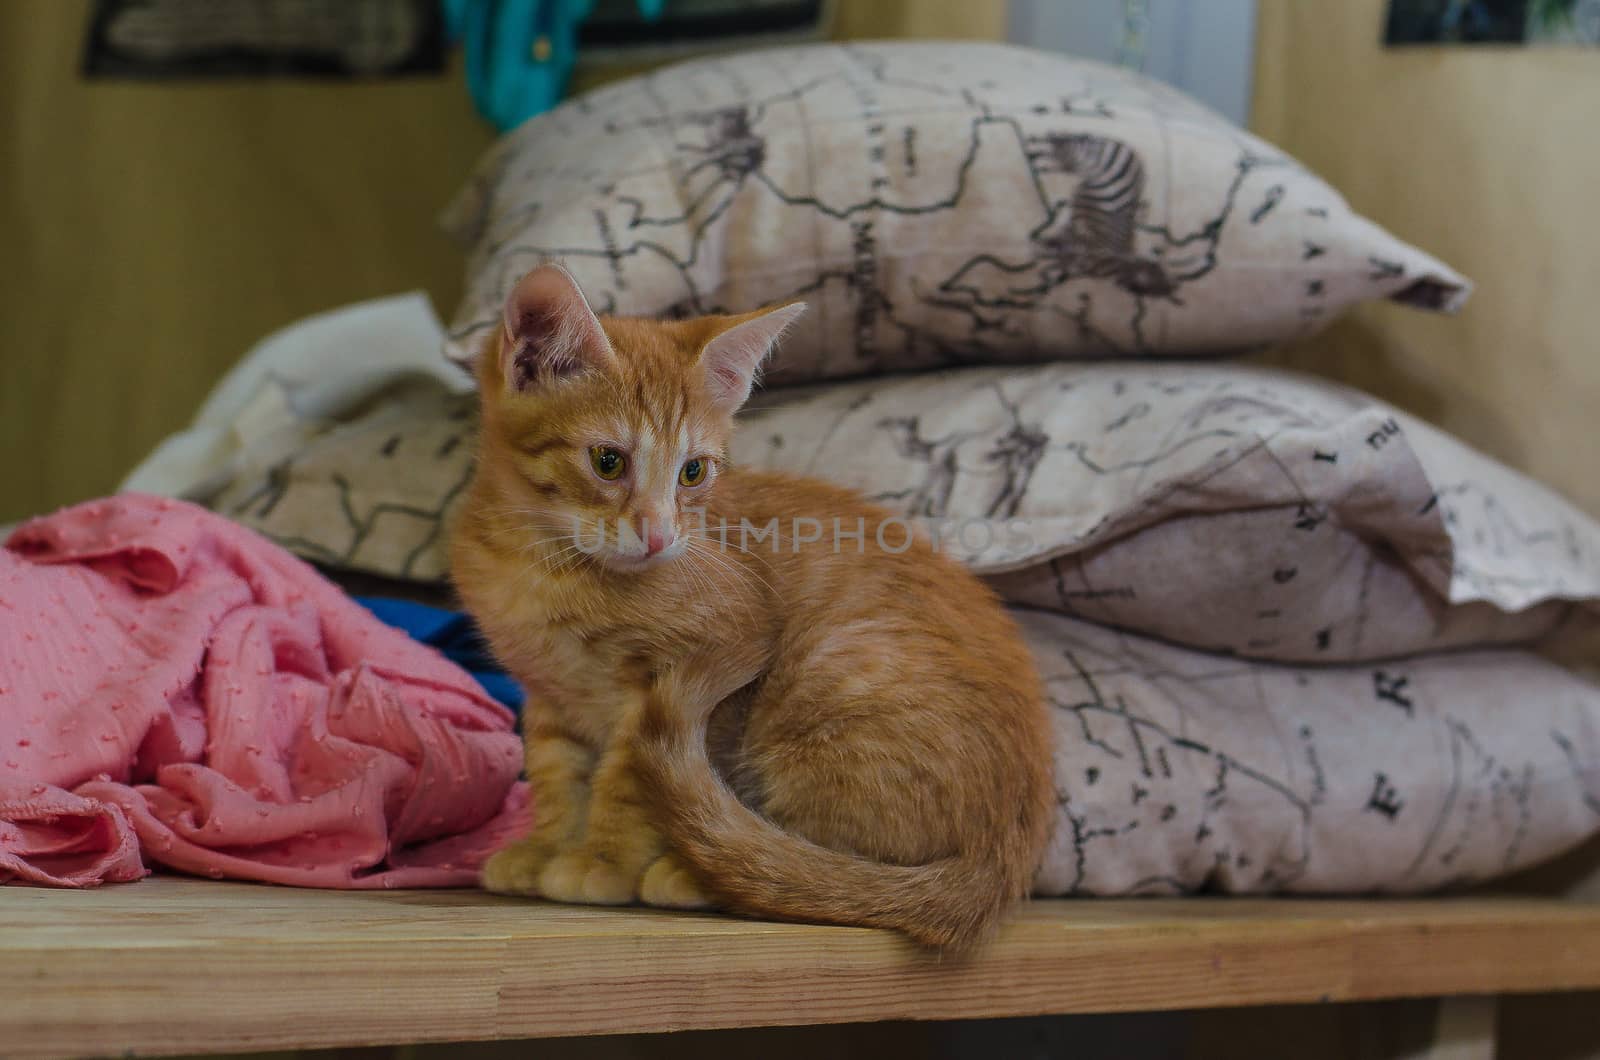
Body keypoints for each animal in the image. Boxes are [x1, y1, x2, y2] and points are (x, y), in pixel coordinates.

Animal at [451, 265, 1056, 954]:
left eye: (692, 472)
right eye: (608, 461)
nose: (659, 536)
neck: (541, 562)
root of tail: (1005, 861)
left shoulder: (705, 655)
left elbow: (626, 777)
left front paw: (603, 861)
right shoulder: (550, 694)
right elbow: (558, 772)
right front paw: (546, 845)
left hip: (822, 690)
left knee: (817, 868)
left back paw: (701, 873)